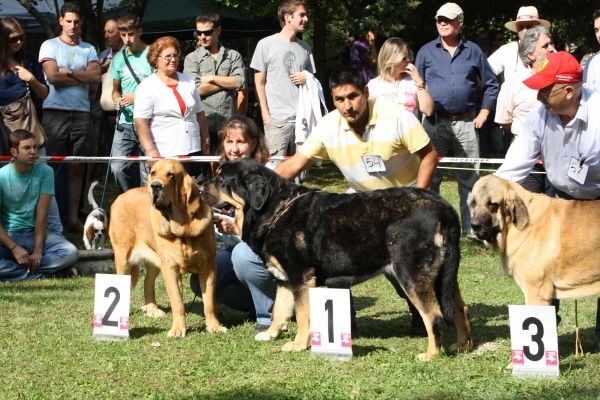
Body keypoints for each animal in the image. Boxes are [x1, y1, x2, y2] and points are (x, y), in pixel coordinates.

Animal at [199, 160, 472, 362]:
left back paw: (431, 355)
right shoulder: (286, 280)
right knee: (459, 308)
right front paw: (271, 334)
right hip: (445, 277)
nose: (200, 186)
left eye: (222, 180)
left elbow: (303, 316)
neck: (275, 209)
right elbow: (279, 311)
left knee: (434, 315)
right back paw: (462, 345)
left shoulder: (301, 278)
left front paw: (298, 345)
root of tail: (444, 208)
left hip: (410, 273)